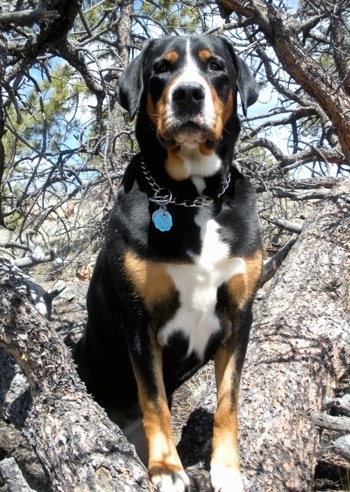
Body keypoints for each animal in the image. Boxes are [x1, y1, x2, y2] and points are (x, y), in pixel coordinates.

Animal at [75, 35, 264, 492]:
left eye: (215, 66)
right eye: (162, 67)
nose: (189, 94)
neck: (192, 198)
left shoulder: (239, 317)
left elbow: (228, 402)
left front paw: (227, 469)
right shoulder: (140, 321)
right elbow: (155, 403)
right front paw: (166, 468)